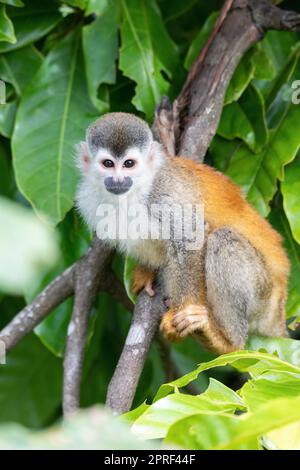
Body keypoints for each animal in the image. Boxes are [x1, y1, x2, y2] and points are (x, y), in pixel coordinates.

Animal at [76, 114, 290, 354]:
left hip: (262, 294)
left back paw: (226, 341)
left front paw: (180, 311)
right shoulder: (90, 200)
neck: (137, 189)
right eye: (108, 164)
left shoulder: (164, 195)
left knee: (222, 240)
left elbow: (191, 238)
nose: (118, 180)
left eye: (129, 164)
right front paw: (146, 270)